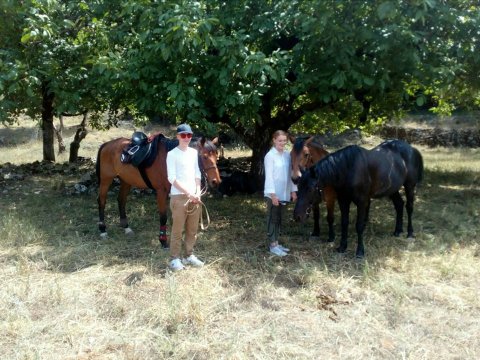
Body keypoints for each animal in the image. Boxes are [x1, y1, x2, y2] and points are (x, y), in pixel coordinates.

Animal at [292, 139, 424, 258]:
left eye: (310, 189)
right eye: (298, 187)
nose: (297, 216)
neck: (348, 170)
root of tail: (412, 149)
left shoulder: (361, 202)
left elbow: (359, 225)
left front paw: (360, 251)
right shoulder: (343, 201)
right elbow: (344, 223)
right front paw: (342, 247)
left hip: (409, 185)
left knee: (409, 207)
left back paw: (410, 234)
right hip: (392, 189)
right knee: (399, 205)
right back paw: (398, 231)